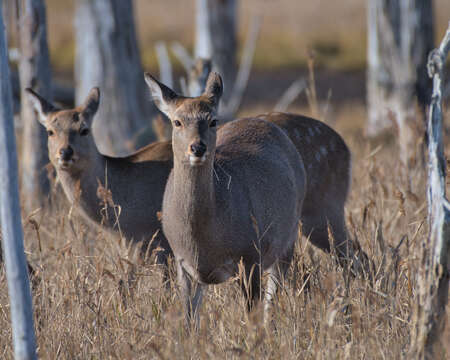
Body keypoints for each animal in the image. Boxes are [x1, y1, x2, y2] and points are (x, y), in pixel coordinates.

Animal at [146, 71, 308, 324]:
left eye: (213, 120)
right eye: (177, 121)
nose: (197, 148)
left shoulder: (250, 255)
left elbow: (252, 315)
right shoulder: (183, 263)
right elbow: (189, 318)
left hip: (287, 239)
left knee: (272, 298)